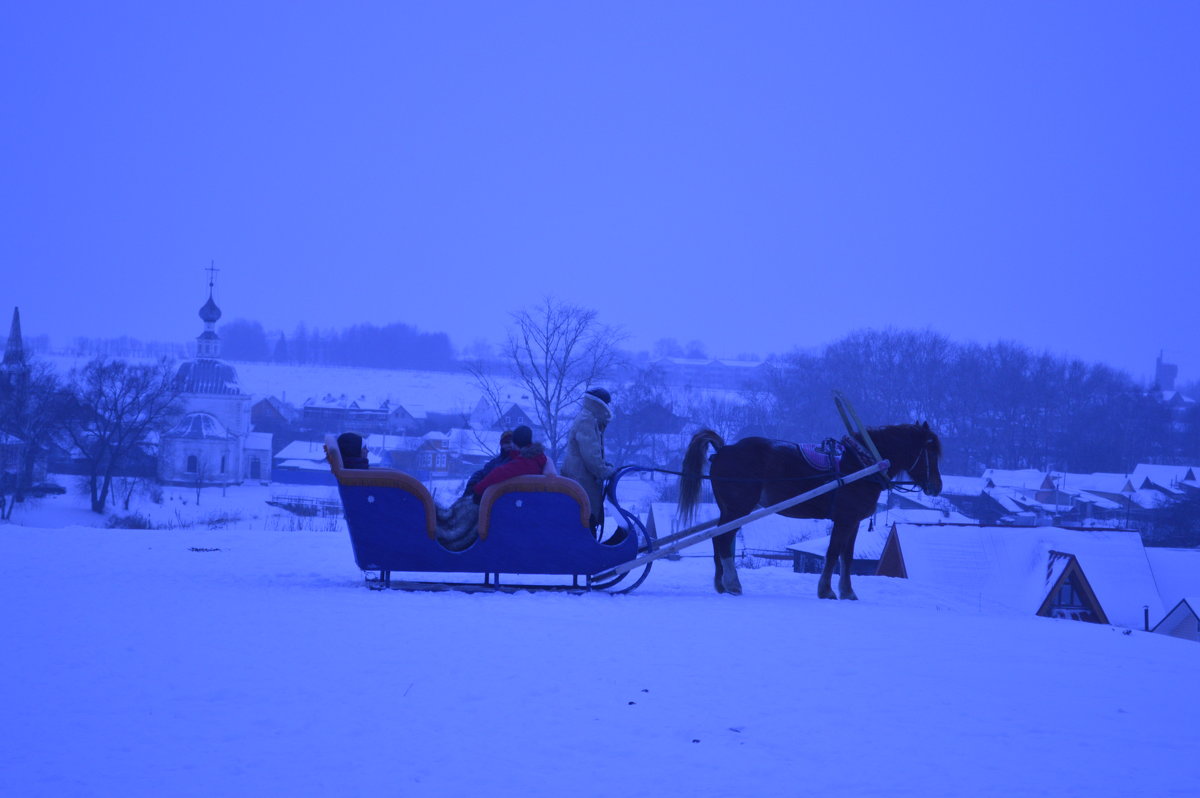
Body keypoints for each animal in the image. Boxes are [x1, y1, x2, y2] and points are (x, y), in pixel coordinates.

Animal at [681, 422, 940, 597]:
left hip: (728, 509)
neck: (861, 464)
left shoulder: (854, 521)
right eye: (931, 451)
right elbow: (833, 553)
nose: (937, 486)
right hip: (738, 508)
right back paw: (733, 583)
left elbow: (847, 556)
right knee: (724, 540)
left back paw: (721, 583)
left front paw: (848, 592)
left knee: (717, 539)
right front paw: (826, 591)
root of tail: (724, 450)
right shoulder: (844, 519)